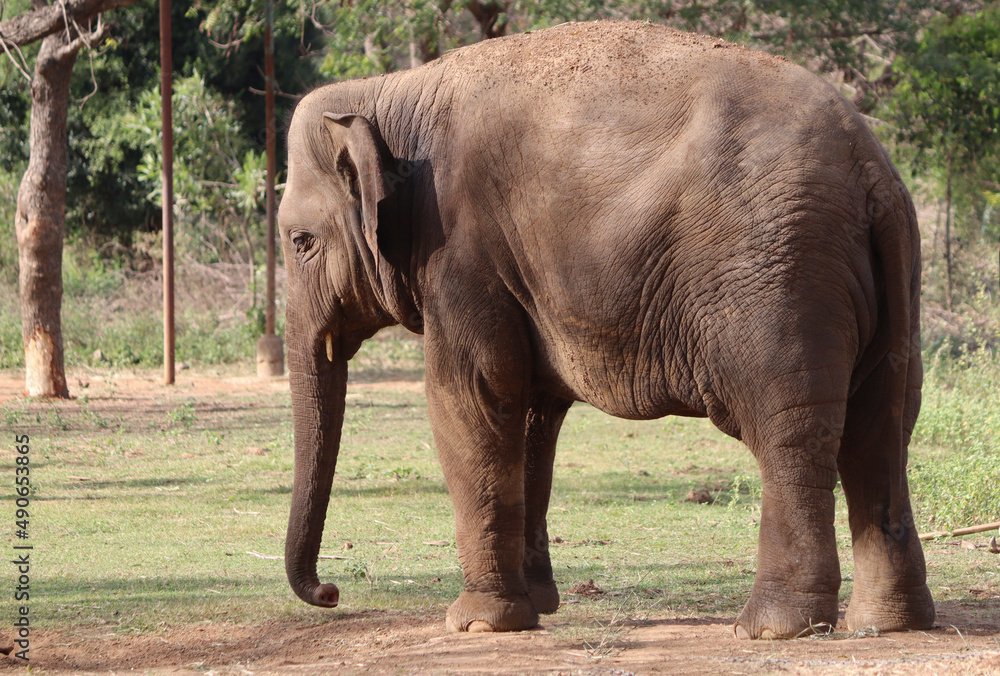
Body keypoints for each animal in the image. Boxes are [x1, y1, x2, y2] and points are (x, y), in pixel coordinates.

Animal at [278, 20, 935, 639]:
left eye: (300, 241)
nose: (330, 591)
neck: (393, 93)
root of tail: (872, 169)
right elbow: (534, 411)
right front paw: (536, 605)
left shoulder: (463, 250)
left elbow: (471, 396)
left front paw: (477, 622)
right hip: (885, 281)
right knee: (881, 429)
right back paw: (888, 622)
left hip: (779, 277)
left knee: (789, 430)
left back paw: (773, 628)